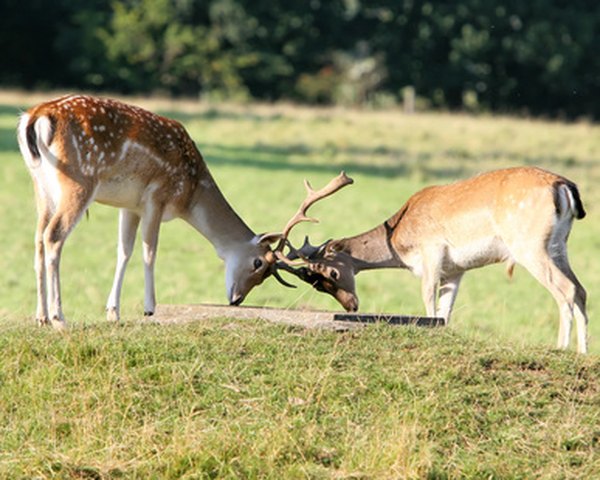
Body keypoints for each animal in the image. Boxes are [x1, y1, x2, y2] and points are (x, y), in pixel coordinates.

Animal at [17, 94, 352, 328]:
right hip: (79, 180)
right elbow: (149, 251)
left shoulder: (129, 205)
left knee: (37, 237)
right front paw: (149, 308)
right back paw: (59, 317)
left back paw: (41, 317)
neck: (190, 194)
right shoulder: (157, 195)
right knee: (54, 236)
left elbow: (123, 251)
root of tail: (36, 116)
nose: (236, 300)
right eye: (259, 263)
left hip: (41, 187)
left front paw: (113, 311)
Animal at [282, 168, 592, 352]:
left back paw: (562, 348)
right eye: (317, 284)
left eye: (332, 274)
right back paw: (582, 351)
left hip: (529, 245)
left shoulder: (431, 251)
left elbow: (429, 300)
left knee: (566, 289)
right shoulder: (456, 270)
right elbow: (446, 310)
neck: (400, 237)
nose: (351, 306)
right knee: (581, 289)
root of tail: (564, 187)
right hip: (558, 245)